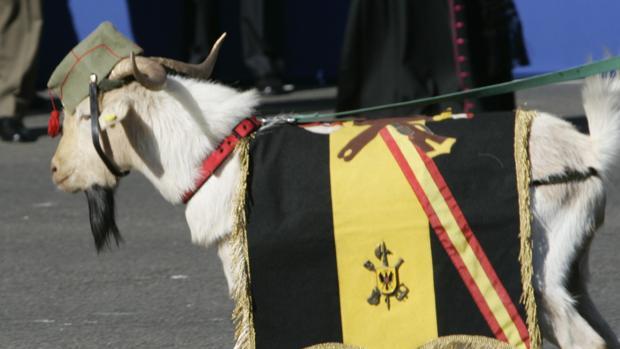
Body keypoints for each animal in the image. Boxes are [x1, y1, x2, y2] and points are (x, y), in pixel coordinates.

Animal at [49, 53, 620, 344]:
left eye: (85, 116)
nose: (55, 171)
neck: (219, 150)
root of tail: (584, 148)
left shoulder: (250, 280)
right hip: (567, 271)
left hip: (538, 270)